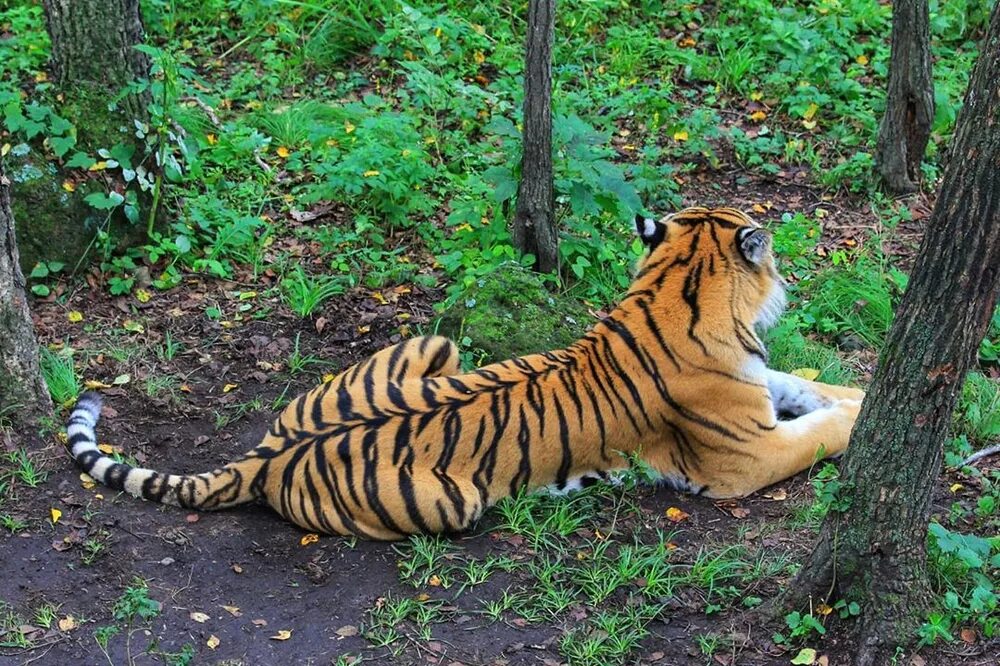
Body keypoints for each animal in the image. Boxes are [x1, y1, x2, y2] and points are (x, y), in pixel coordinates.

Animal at [68, 208, 868, 540]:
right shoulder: (741, 458)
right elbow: (818, 434)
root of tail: (264, 455)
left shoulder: (759, 388)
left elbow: (810, 386)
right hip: (456, 502)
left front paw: (860, 390)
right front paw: (859, 417)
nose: (787, 271)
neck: (675, 289)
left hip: (432, 347)